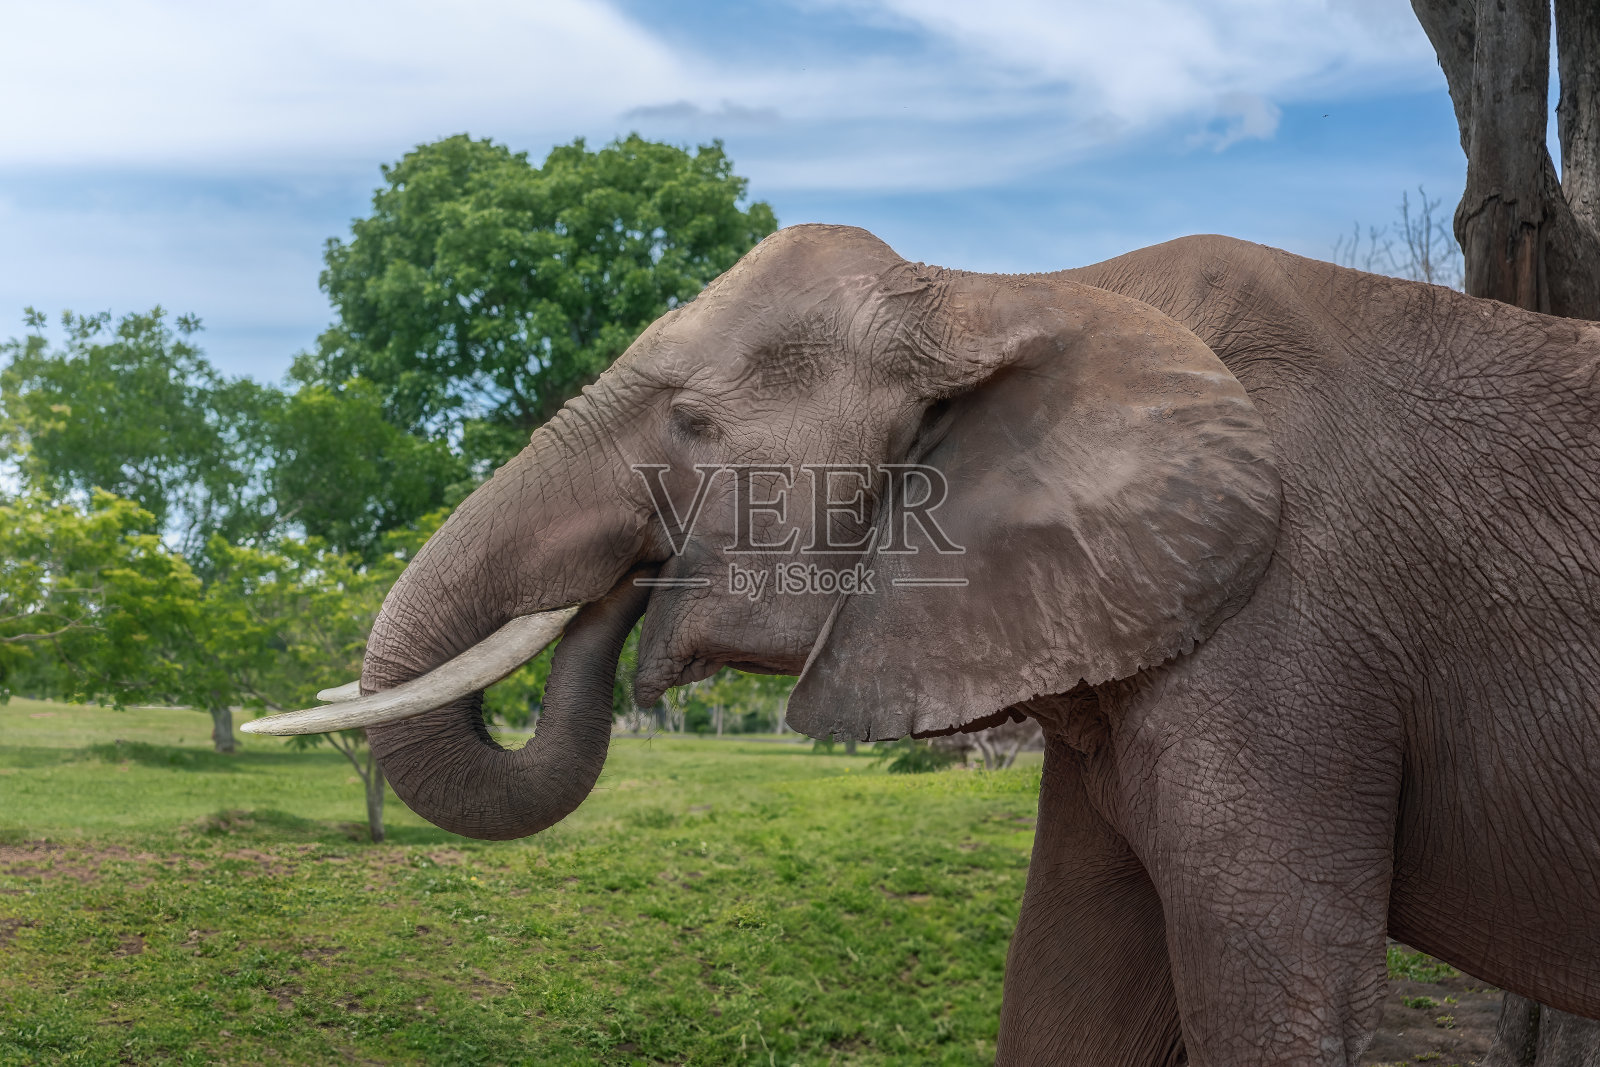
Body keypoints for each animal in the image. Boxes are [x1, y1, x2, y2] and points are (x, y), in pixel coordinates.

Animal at [245, 224, 1600, 1064]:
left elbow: (1279, 1000)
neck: (1018, 286)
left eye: (692, 425)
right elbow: (1067, 989)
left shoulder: (1291, 640)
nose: (631, 590)